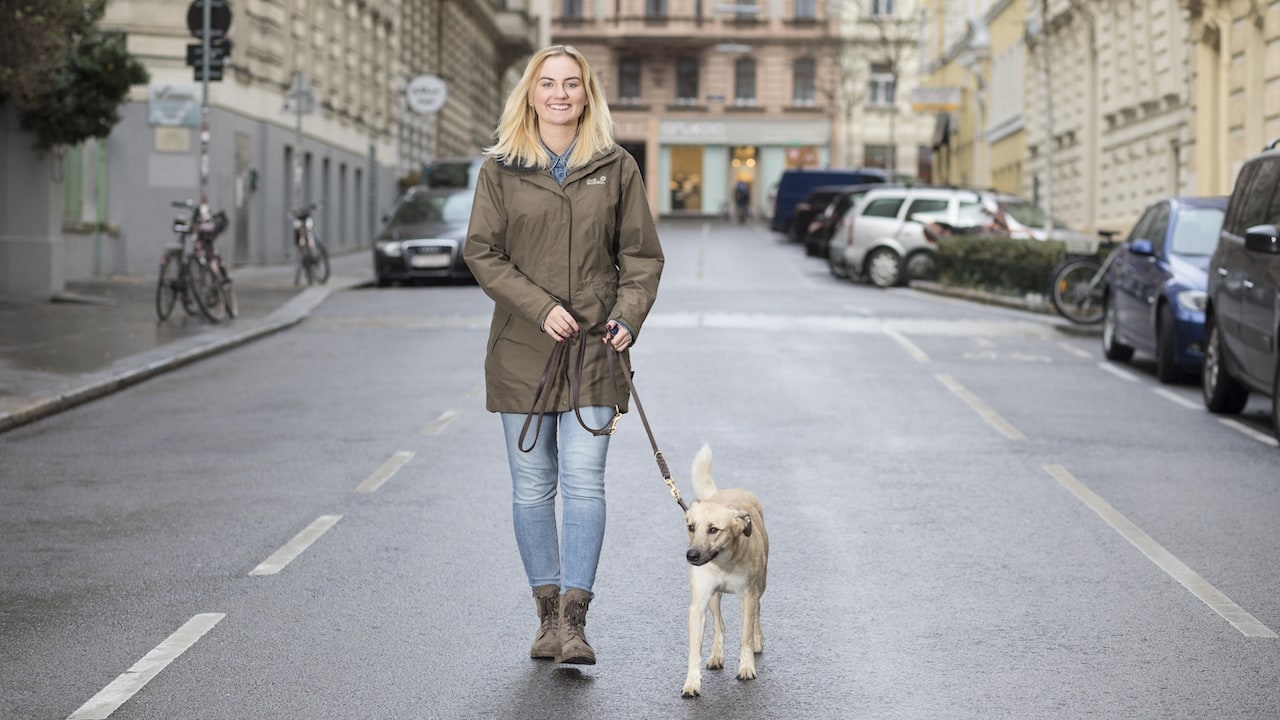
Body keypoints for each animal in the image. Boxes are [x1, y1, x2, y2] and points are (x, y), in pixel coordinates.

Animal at [680, 443, 768, 696]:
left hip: (761, 584)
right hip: (713, 597)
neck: (724, 562)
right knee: (719, 625)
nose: (691, 555)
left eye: (714, 529)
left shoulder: (747, 595)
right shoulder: (698, 604)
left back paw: (758, 639)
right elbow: (695, 650)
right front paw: (692, 683)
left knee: (757, 611)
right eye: (691, 527)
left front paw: (747, 667)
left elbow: (745, 637)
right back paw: (716, 655)